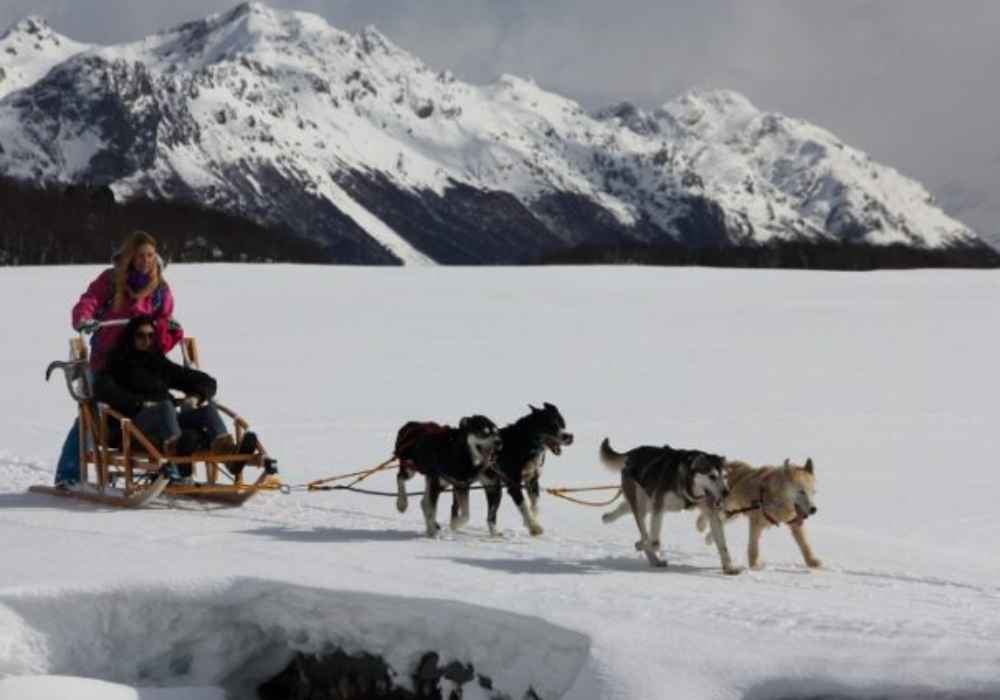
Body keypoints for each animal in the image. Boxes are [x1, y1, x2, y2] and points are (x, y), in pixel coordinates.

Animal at [481, 402, 574, 537]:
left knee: (490, 515)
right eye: (551, 426)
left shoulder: (532, 480)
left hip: (494, 488)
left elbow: (535, 505)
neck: (526, 443)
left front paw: (532, 522)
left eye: (562, 424)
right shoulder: (513, 483)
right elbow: (524, 505)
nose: (569, 437)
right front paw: (533, 526)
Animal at [600, 438, 741, 574]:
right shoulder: (658, 506)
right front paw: (641, 545)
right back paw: (652, 557)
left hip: (647, 502)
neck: (685, 481)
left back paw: (608, 517)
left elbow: (722, 544)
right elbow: (655, 542)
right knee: (643, 531)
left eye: (725, 476)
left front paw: (729, 567)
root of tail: (632, 453)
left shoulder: (711, 512)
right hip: (642, 504)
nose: (726, 492)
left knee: (626, 507)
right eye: (712, 476)